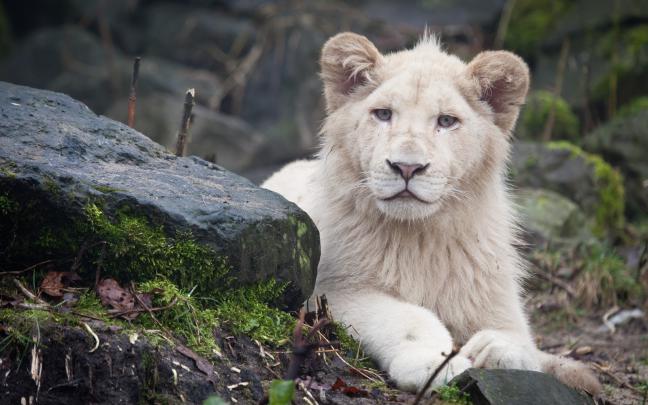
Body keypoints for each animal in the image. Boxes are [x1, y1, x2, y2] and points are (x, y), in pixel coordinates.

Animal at [262, 32, 600, 396]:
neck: (421, 237)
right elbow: (407, 317)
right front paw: (434, 362)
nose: (407, 167)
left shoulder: (494, 296)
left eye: (446, 121)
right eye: (383, 114)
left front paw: (496, 349)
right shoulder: (333, 290)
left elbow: (521, 340)